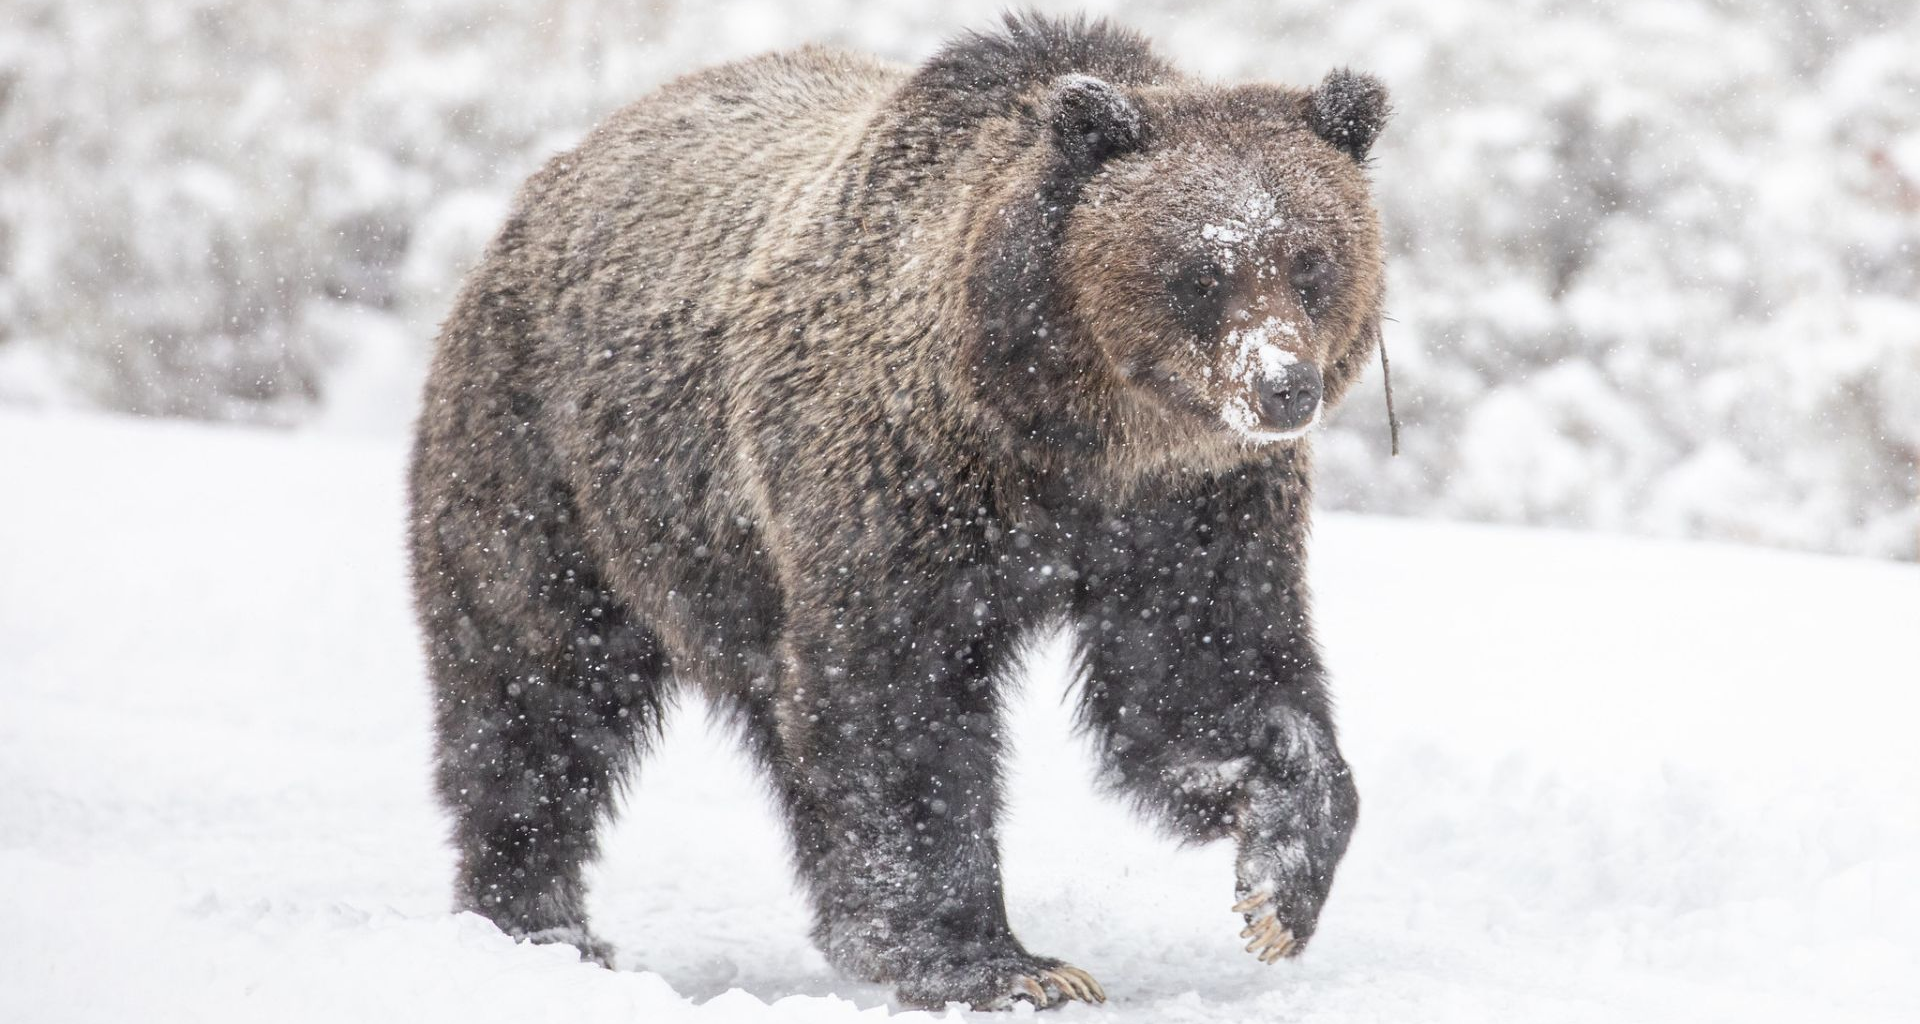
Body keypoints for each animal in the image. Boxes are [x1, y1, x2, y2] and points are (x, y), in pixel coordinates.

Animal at [408, 11, 1389, 1011]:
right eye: (1201, 270)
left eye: (1312, 261)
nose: (1283, 386)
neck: (1069, 441)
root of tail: (552, 176)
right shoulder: (903, 485)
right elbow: (900, 706)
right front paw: (999, 962)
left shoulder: (1194, 514)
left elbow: (1208, 678)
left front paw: (1278, 882)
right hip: (557, 472)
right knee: (536, 693)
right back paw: (541, 923)